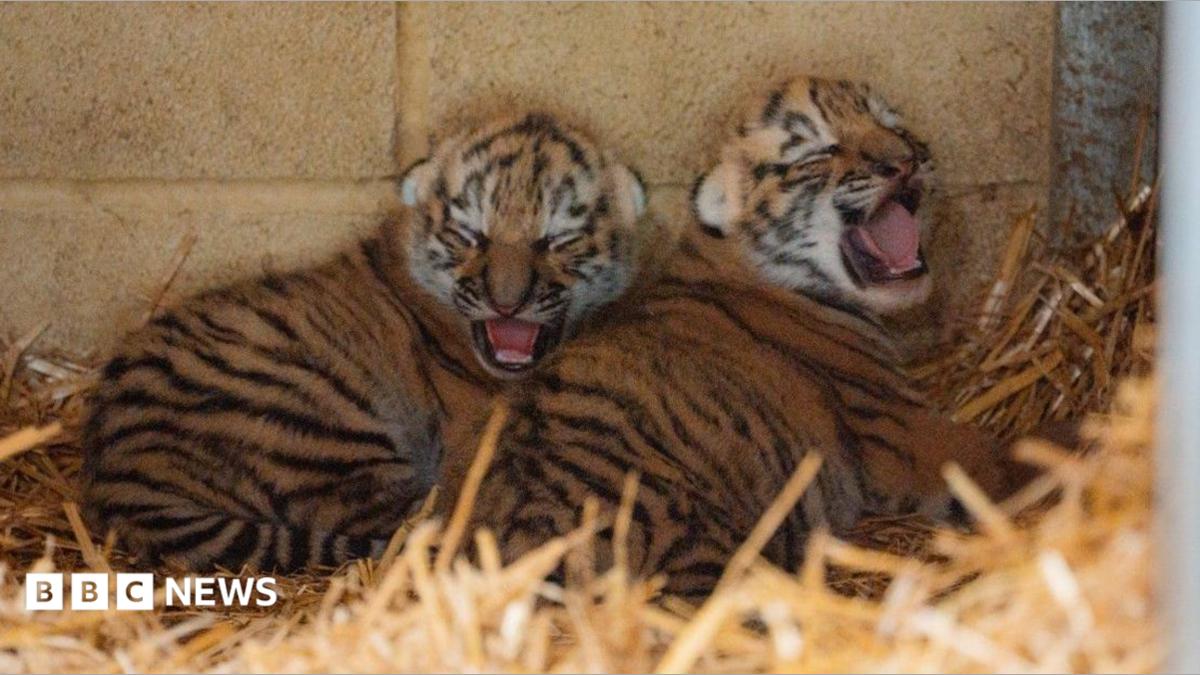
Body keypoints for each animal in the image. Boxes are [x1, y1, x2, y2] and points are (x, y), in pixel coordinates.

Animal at [80, 112, 650, 572]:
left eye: (557, 240)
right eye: (470, 236)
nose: (506, 304)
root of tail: (115, 470)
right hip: (317, 423)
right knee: (418, 519)